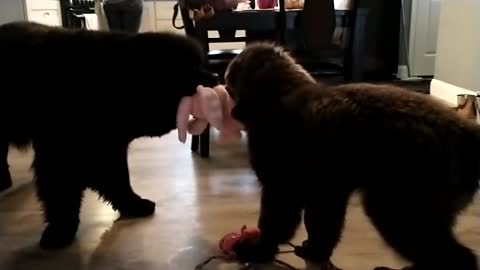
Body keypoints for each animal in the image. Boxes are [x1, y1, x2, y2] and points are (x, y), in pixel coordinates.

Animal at [0, 22, 219, 250]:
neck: (110, 82)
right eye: (188, 68)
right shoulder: (60, 152)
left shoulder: (110, 147)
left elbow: (118, 179)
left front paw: (132, 204)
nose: (216, 77)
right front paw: (60, 231)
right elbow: (63, 193)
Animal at [225, 42, 480, 270]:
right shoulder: (326, 191)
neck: (280, 94)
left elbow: (274, 225)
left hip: (399, 208)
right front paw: (315, 252)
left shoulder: (281, 186)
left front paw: (258, 250)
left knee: (457, 258)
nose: (224, 87)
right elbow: (322, 226)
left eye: (230, 83)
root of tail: (466, 134)